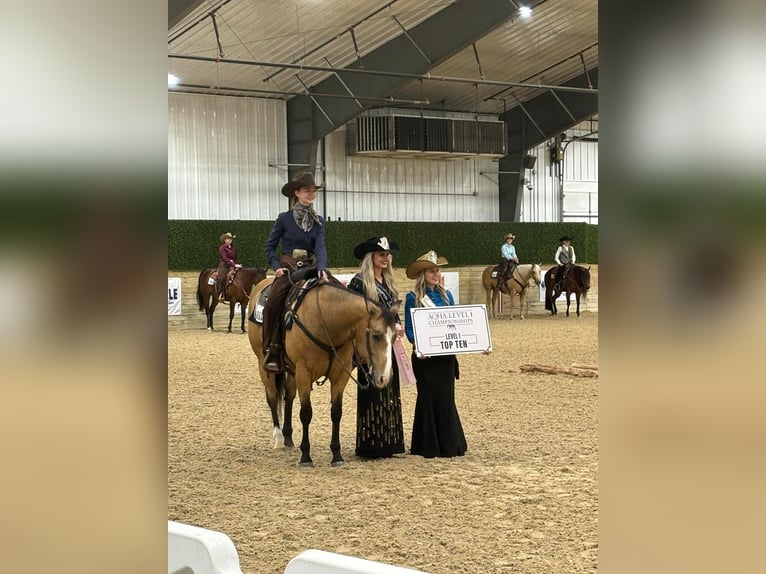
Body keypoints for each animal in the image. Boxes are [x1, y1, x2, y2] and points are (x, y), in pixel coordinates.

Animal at [248, 276, 402, 470]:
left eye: (394, 336)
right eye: (376, 335)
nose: (385, 377)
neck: (327, 322)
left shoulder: (340, 375)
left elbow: (336, 412)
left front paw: (336, 454)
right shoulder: (304, 374)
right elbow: (306, 414)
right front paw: (306, 456)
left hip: (291, 371)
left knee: (288, 397)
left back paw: (288, 437)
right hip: (264, 365)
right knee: (273, 397)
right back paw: (278, 438)